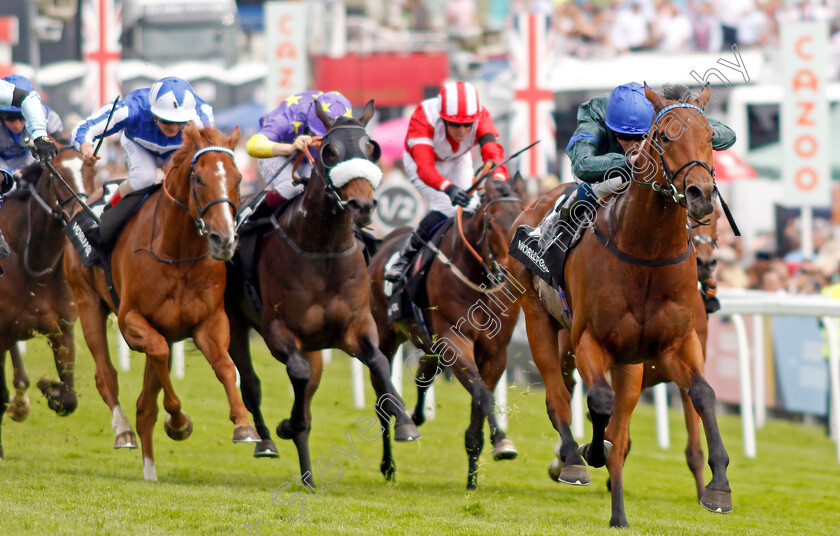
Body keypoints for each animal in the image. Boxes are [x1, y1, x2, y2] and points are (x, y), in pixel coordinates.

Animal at [0, 149, 83, 458]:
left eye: (92, 172)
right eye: (57, 175)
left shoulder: (63, 331)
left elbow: (69, 399)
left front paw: (50, 387)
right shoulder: (0, 333)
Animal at [65, 125, 258, 482]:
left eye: (239, 178)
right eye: (198, 178)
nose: (224, 240)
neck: (177, 252)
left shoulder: (209, 321)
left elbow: (225, 366)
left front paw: (243, 423)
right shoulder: (130, 320)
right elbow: (157, 354)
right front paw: (179, 422)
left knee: (145, 405)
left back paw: (150, 471)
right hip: (87, 302)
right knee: (106, 375)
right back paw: (123, 430)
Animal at [226, 100, 420, 486]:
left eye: (372, 149)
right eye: (329, 151)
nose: (363, 206)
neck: (323, 251)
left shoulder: (357, 328)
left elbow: (378, 362)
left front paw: (406, 422)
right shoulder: (277, 331)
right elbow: (296, 376)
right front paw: (287, 424)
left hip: (315, 346)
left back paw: (307, 475)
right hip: (235, 322)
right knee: (251, 383)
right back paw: (267, 439)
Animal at [370, 175, 524, 490]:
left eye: (520, 220)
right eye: (490, 223)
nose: (507, 272)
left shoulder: (494, 353)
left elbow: (479, 399)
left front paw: (473, 479)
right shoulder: (455, 340)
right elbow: (482, 393)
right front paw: (502, 442)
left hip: (428, 343)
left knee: (423, 375)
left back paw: (415, 417)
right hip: (385, 336)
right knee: (382, 401)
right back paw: (390, 460)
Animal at [508, 85, 732, 528]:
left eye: (709, 137)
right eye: (662, 137)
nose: (700, 194)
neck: (645, 252)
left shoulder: (676, 344)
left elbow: (703, 395)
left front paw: (718, 487)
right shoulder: (592, 340)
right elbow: (599, 403)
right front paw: (590, 453)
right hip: (537, 315)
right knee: (558, 395)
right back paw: (574, 461)